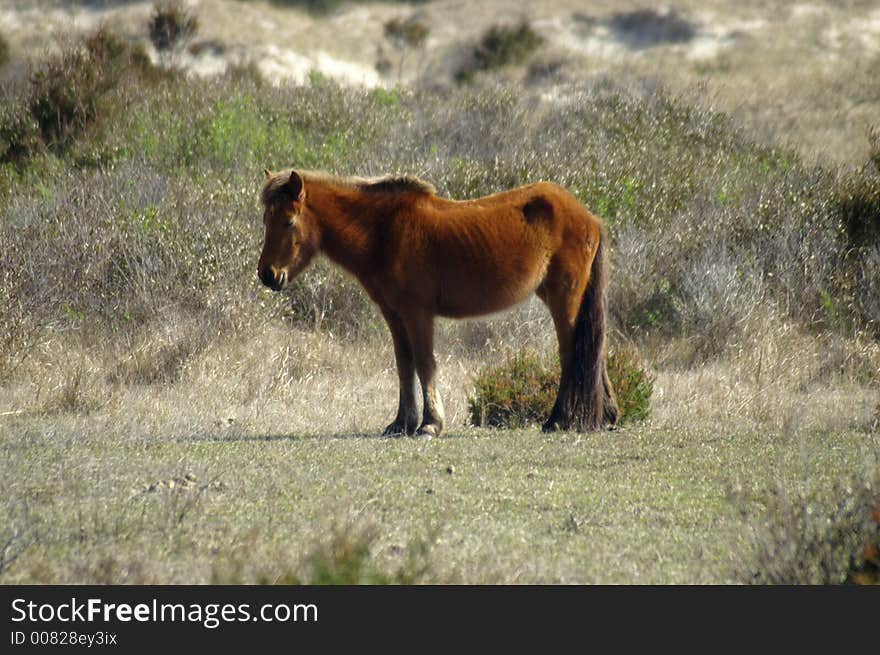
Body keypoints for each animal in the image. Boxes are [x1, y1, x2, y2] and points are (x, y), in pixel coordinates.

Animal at [258, 169, 620, 438]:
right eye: (265, 220)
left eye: (288, 221)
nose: (267, 275)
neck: (383, 232)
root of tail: (588, 217)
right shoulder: (393, 313)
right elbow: (404, 364)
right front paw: (401, 423)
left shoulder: (417, 313)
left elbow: (424, 363)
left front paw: (430, 423)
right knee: (594, 352)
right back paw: (607, 416)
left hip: (564, 297)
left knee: (572, 352)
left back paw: (559, 420)